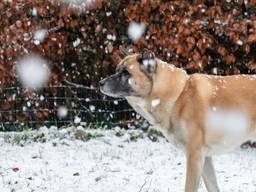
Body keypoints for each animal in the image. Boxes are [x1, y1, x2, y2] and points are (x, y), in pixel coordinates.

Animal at [98, 48, 256, 191]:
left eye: (126, 73)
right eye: (117, 70)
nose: (100, 83)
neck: (178, 95)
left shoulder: (195, 156)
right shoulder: (205, 158)